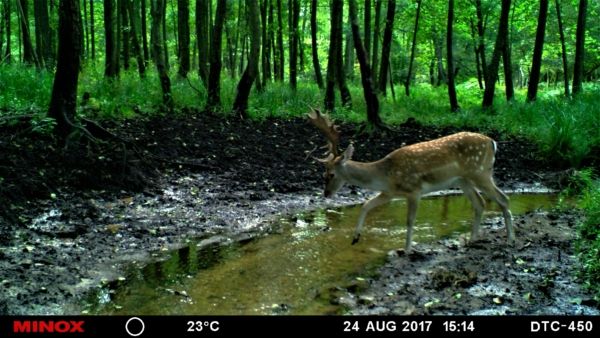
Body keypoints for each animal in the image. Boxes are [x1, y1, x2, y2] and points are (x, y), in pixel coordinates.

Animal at [308, 109, 512, 254]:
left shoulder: (414, 190)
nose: (326, 193)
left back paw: (511, 238)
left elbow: (410, 220)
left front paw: (406, 249)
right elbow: (366, 204)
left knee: (503, 198)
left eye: (330, 174)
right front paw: (355, 237)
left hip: (481, 172)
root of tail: (493, 142)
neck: (386, 176)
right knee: (480, 203)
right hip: (464, 181)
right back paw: (472, 239)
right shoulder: (389, 193)